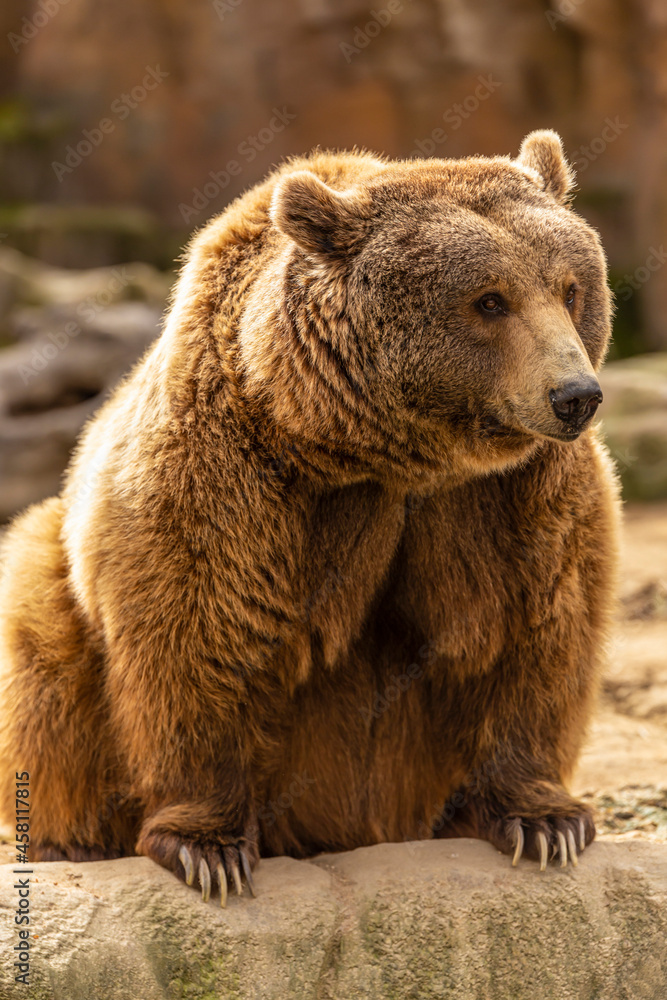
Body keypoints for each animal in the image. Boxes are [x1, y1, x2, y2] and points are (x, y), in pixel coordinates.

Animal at [0, 130, 619, 904]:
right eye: (489, 300)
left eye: (570, 288)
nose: (574, 395)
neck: (387, 456)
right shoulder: (236, 466)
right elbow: (200, 627)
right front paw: (207, 848)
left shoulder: (513, 491)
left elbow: (534, 621)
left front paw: (544, 823)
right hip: (56, 569)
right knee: (44, 657)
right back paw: (70, 841)